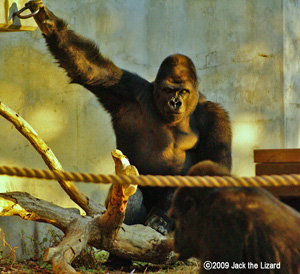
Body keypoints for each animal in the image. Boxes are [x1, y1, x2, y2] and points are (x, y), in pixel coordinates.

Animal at [27, 1, 232, 234]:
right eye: (169, 90)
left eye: (183, 91)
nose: (175, 102)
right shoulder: (128, 90)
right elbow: (90, 69)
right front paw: (49, 23)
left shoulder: (216, 116)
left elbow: (216, 165)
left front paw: (164, 216)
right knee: (132, 195)